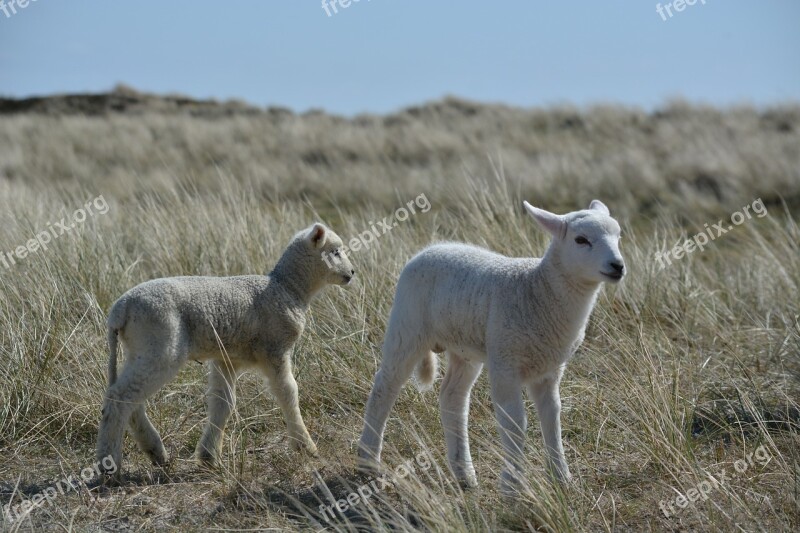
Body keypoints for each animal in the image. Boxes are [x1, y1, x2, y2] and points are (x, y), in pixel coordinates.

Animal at [97, 222, 354, 472]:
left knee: (131, 400)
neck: (288, 288)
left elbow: (223, 404)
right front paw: (305, 447)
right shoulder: (275, 349)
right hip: (161, 348)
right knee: (119, 397)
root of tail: (120, 308)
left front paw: (209, 457)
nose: (352, 273)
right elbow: (289, 393)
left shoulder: (227, 358)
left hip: (139, 350)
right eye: (335, 252)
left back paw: (155, 451)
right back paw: (108, 464)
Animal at [356, 201, 624, 490]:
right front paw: (513, 484)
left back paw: (464, 472)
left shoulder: (549, 369)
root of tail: (430, 249)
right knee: (384, 387)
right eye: (581, 240)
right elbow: (515, 421)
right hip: (407, 327)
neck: (538, 290)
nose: (618, 265)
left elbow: (552, 415)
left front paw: (561, 477)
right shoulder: (505, 363)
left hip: (464, 349)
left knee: (452, 397)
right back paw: (368, 460)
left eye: (619, 236)